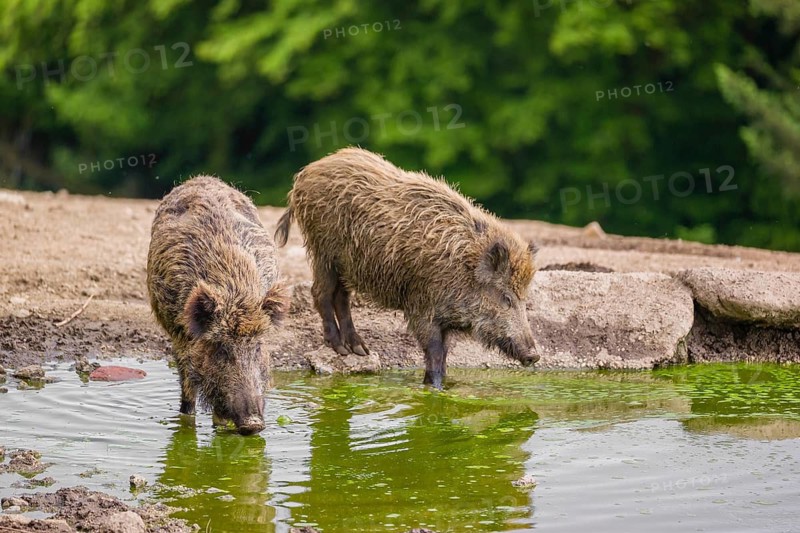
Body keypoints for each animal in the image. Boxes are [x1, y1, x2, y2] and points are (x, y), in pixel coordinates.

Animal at [147, 176, 288, 435]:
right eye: (221, 349)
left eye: (257, 348)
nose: (253, 423)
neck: (237, 293)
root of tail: (202, 178)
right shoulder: (182, 340)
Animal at [274, 148, 539, 389]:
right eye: (506, 298)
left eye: (525, 298)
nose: (534, 356)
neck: (463, 269)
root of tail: (306, 173)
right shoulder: (421, 308)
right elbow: (434, 353)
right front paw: (433, 388)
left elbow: (443, 355)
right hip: (323, 253)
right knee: (321, 293)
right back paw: (340, 349)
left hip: (346, 266)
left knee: (341, 297)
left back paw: (360, 350)